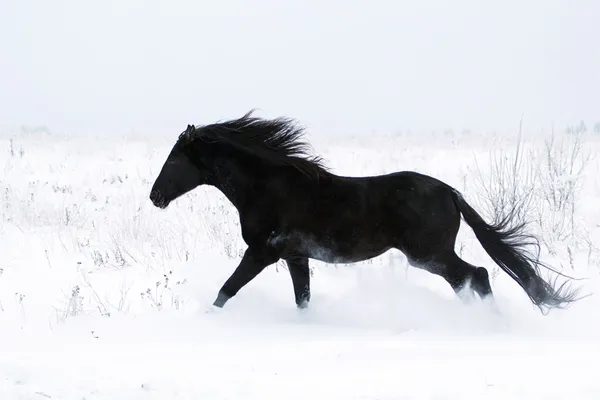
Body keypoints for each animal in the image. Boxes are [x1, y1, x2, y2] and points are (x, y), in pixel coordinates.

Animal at [150, 111, 580, 314]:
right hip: (432, 257)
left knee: (476, 274)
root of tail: (450, 192)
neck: (268, 187)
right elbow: (302, 298)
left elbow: (227, 290)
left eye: (173, 161)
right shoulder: (295, 256)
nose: (155, 197)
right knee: (470, 279)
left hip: (428, 255)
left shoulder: (262, 252)